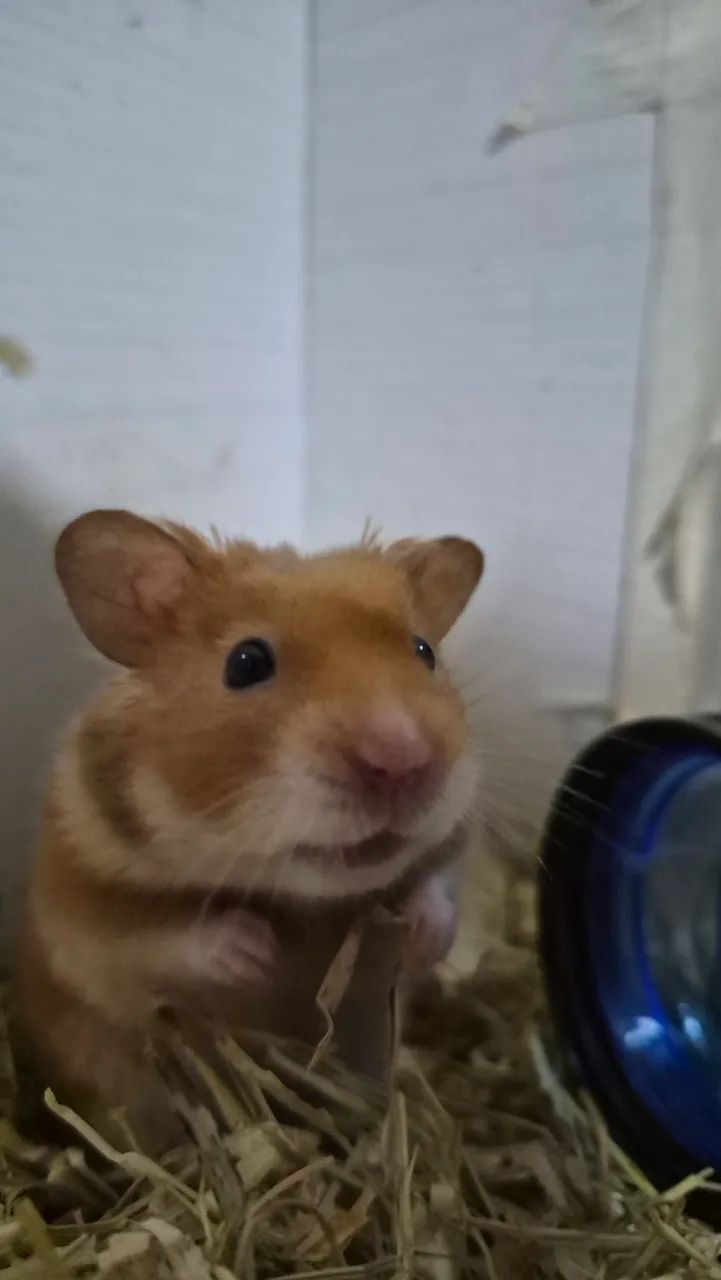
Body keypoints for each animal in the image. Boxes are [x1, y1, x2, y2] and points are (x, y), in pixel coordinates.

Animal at [19, 510, 483, 1145]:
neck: (302, 900)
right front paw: (257, 952)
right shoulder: (78, 901)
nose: (403, 760)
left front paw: (419, 925)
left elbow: (438, 899)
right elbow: (155, 936)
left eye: (425, 652)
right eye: (247, 662)